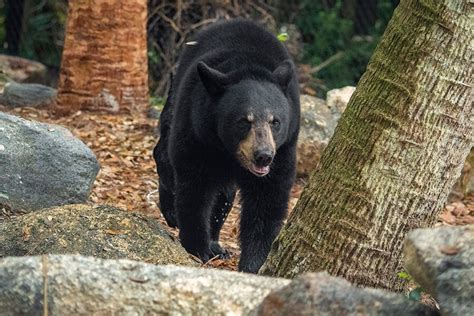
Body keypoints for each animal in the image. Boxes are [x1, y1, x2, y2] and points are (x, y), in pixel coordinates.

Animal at [153, 18, 300, 272]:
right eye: (244, 120)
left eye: (275, 121)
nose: (263, 155)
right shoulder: (197, 129)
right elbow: (195, 187)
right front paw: (197, 247)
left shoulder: (284, 150)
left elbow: (267, 200)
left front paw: (253, 263)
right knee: (165, 156)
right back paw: (172, 211)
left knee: (225, 195)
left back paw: (217, 244)